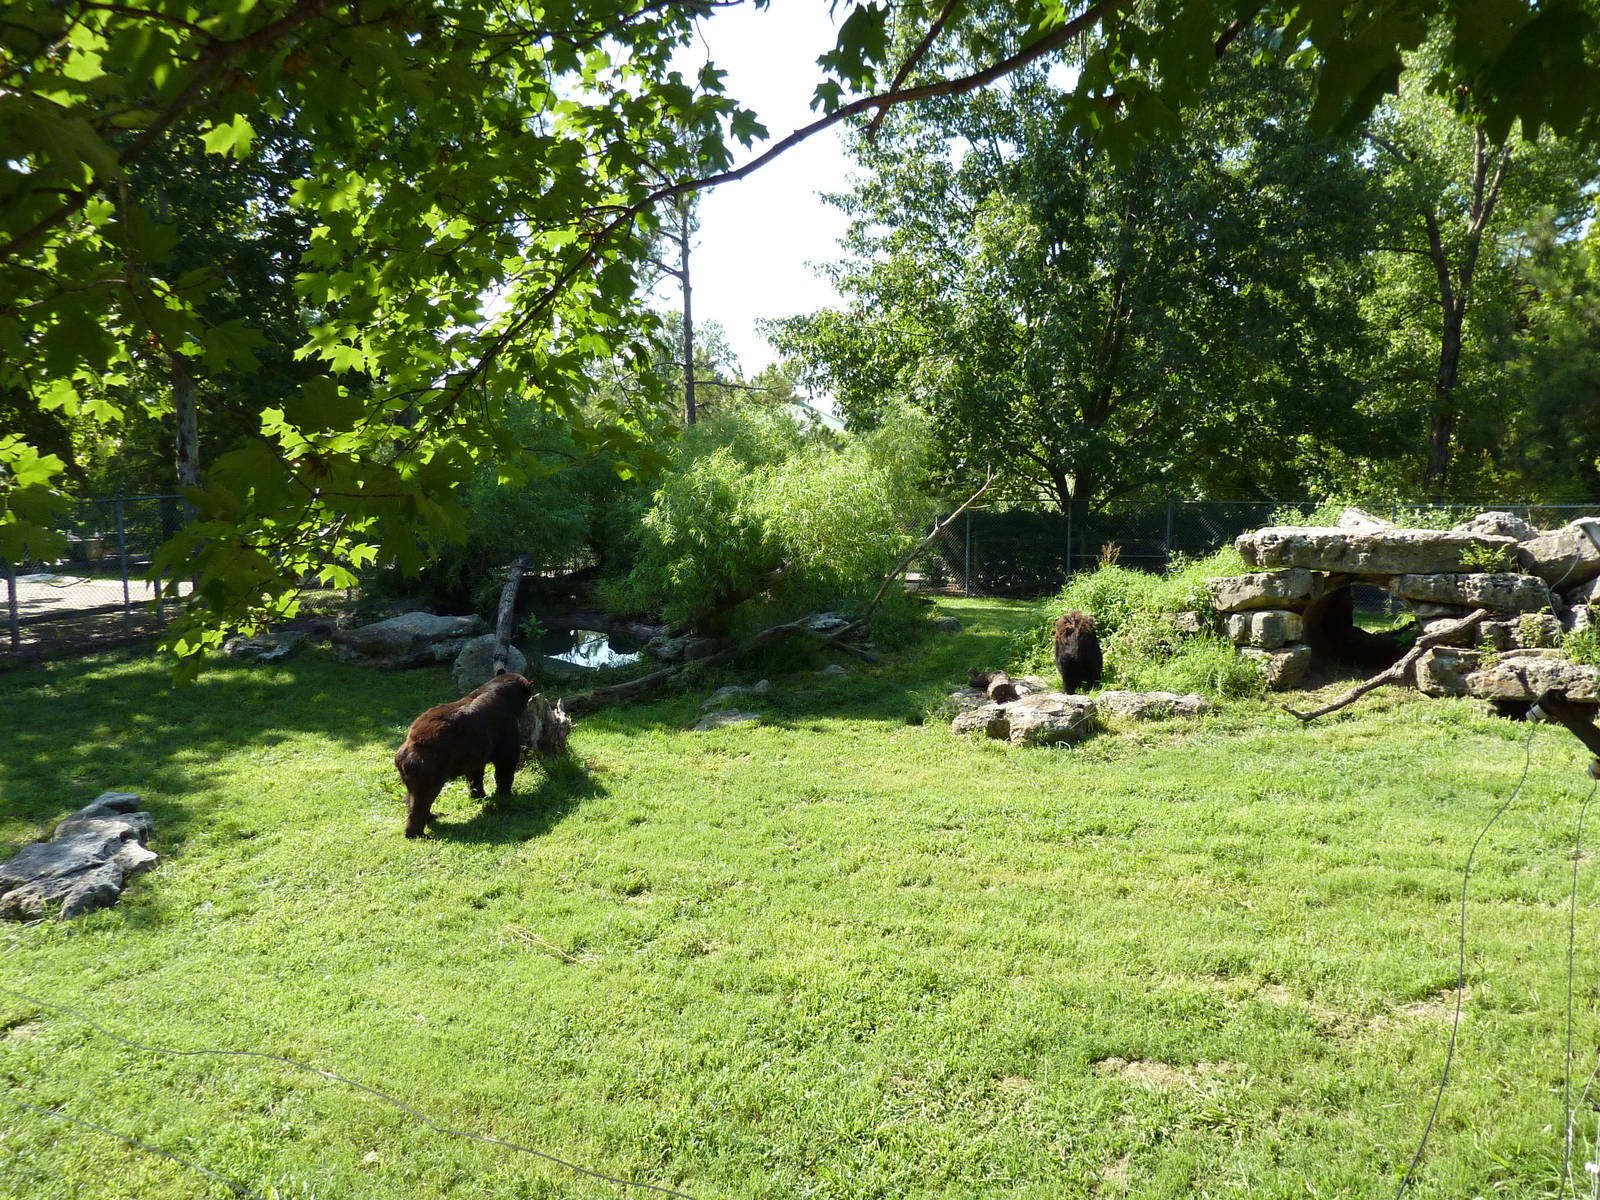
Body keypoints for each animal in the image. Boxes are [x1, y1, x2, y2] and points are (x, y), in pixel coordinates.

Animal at [394, 670, 536, 838]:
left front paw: (479, 795)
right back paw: (417, 832)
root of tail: (407, 750)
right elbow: (506, 761)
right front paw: (505, 793)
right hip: (429, 767)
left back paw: (432, 815)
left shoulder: (476, 747)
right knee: (423, 798)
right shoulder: (504, 728)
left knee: (412, 797)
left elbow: (475, 772)